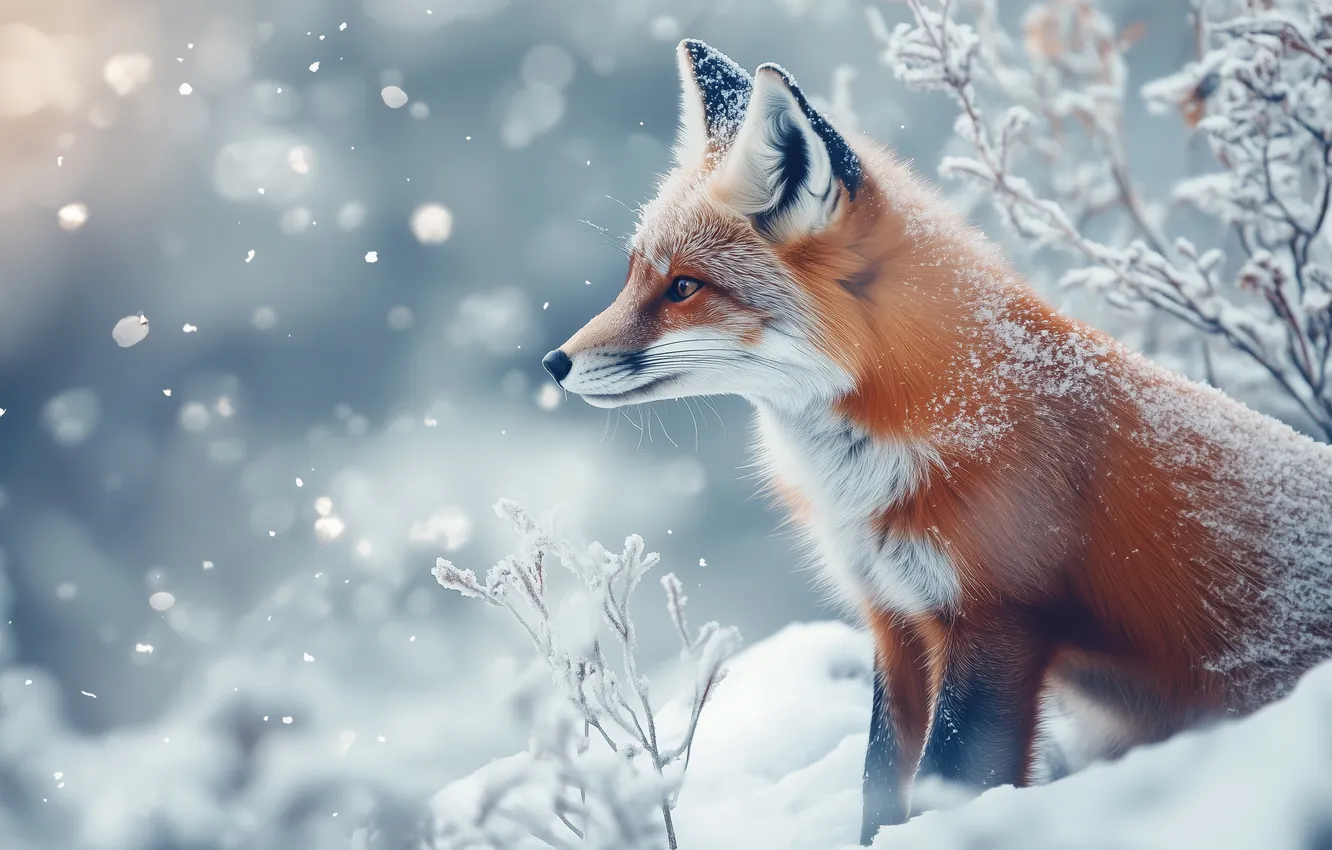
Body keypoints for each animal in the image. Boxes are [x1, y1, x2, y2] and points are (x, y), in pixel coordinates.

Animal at [541, 39, 1332, 844]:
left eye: (684, 288)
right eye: (635, 275)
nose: (555, 363)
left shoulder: (997, 623)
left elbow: (948, 781)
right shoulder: (896, 619)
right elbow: (879, 781)